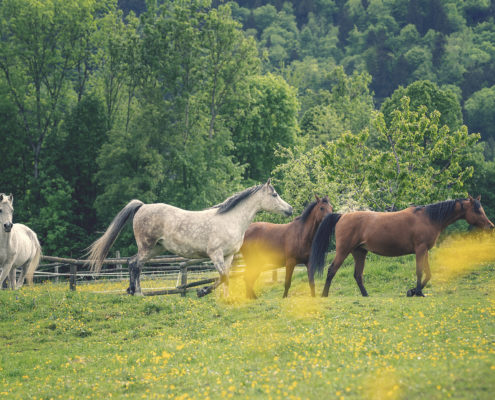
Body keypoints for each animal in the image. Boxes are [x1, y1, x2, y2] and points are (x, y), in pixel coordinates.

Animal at [88, 180, 294, 296]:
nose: (290, 209)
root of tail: (142, 206)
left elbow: (226, 277)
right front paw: (203, 292)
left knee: (134, 263)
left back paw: (134, 292)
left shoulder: (228, 256)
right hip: (147, 247)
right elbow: (222, 276)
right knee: (134, 264)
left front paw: (225, 298)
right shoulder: (215, 254)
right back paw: (137, 293)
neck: (231, 220)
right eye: (274, 194)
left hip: (155, 249)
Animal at [310, 197, 495, 296]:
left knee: (357, 275)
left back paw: (366, 295)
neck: (428, 218)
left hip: (359, 252)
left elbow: (428, 273)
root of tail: (342, 216)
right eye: (477, 210)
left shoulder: (425, 251)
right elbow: (420, 271)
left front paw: (414, 291)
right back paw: (324, 294)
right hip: (343, 251)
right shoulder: (420, 250)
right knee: (331, 270)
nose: (490, 226)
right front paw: (417, 292)